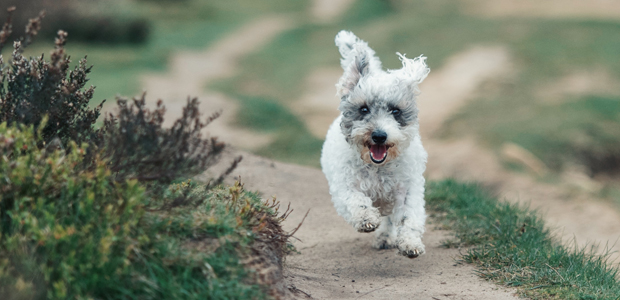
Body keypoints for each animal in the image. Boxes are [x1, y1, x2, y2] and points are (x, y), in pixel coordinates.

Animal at [320, 30, 432, 258]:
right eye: (363, 109)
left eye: (396, 111)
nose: (379, 135)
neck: (378, 168)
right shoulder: (345, 186)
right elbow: (356, 201)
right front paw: (366, 219)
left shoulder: (408, 189)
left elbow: (410, 217)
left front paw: (410, 243)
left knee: (389, 220)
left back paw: (386, 237)